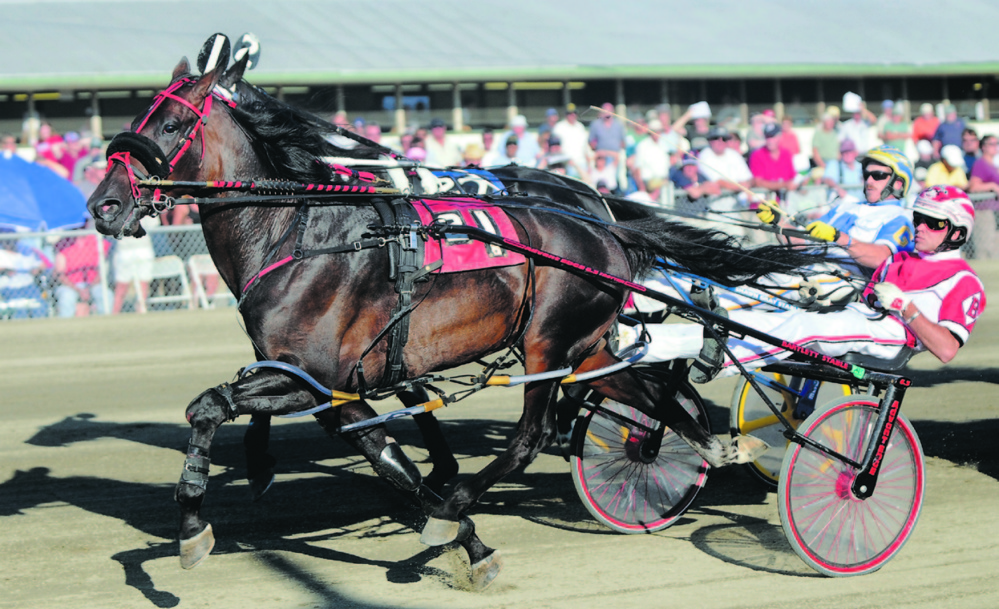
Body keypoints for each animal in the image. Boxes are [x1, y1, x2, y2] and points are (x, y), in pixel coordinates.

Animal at [86, 55, 824, 584]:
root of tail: (602, 222)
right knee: (651, 391)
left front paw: (190, 525)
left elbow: (207, 405)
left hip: (546, 344)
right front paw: (465, 541)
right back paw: (713, 445)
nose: (103, 205)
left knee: (531, 436)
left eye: (171, 126)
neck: (298, 231)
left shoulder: (310, 376)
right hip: (584, 346)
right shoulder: (335, 388)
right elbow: (389, 460)